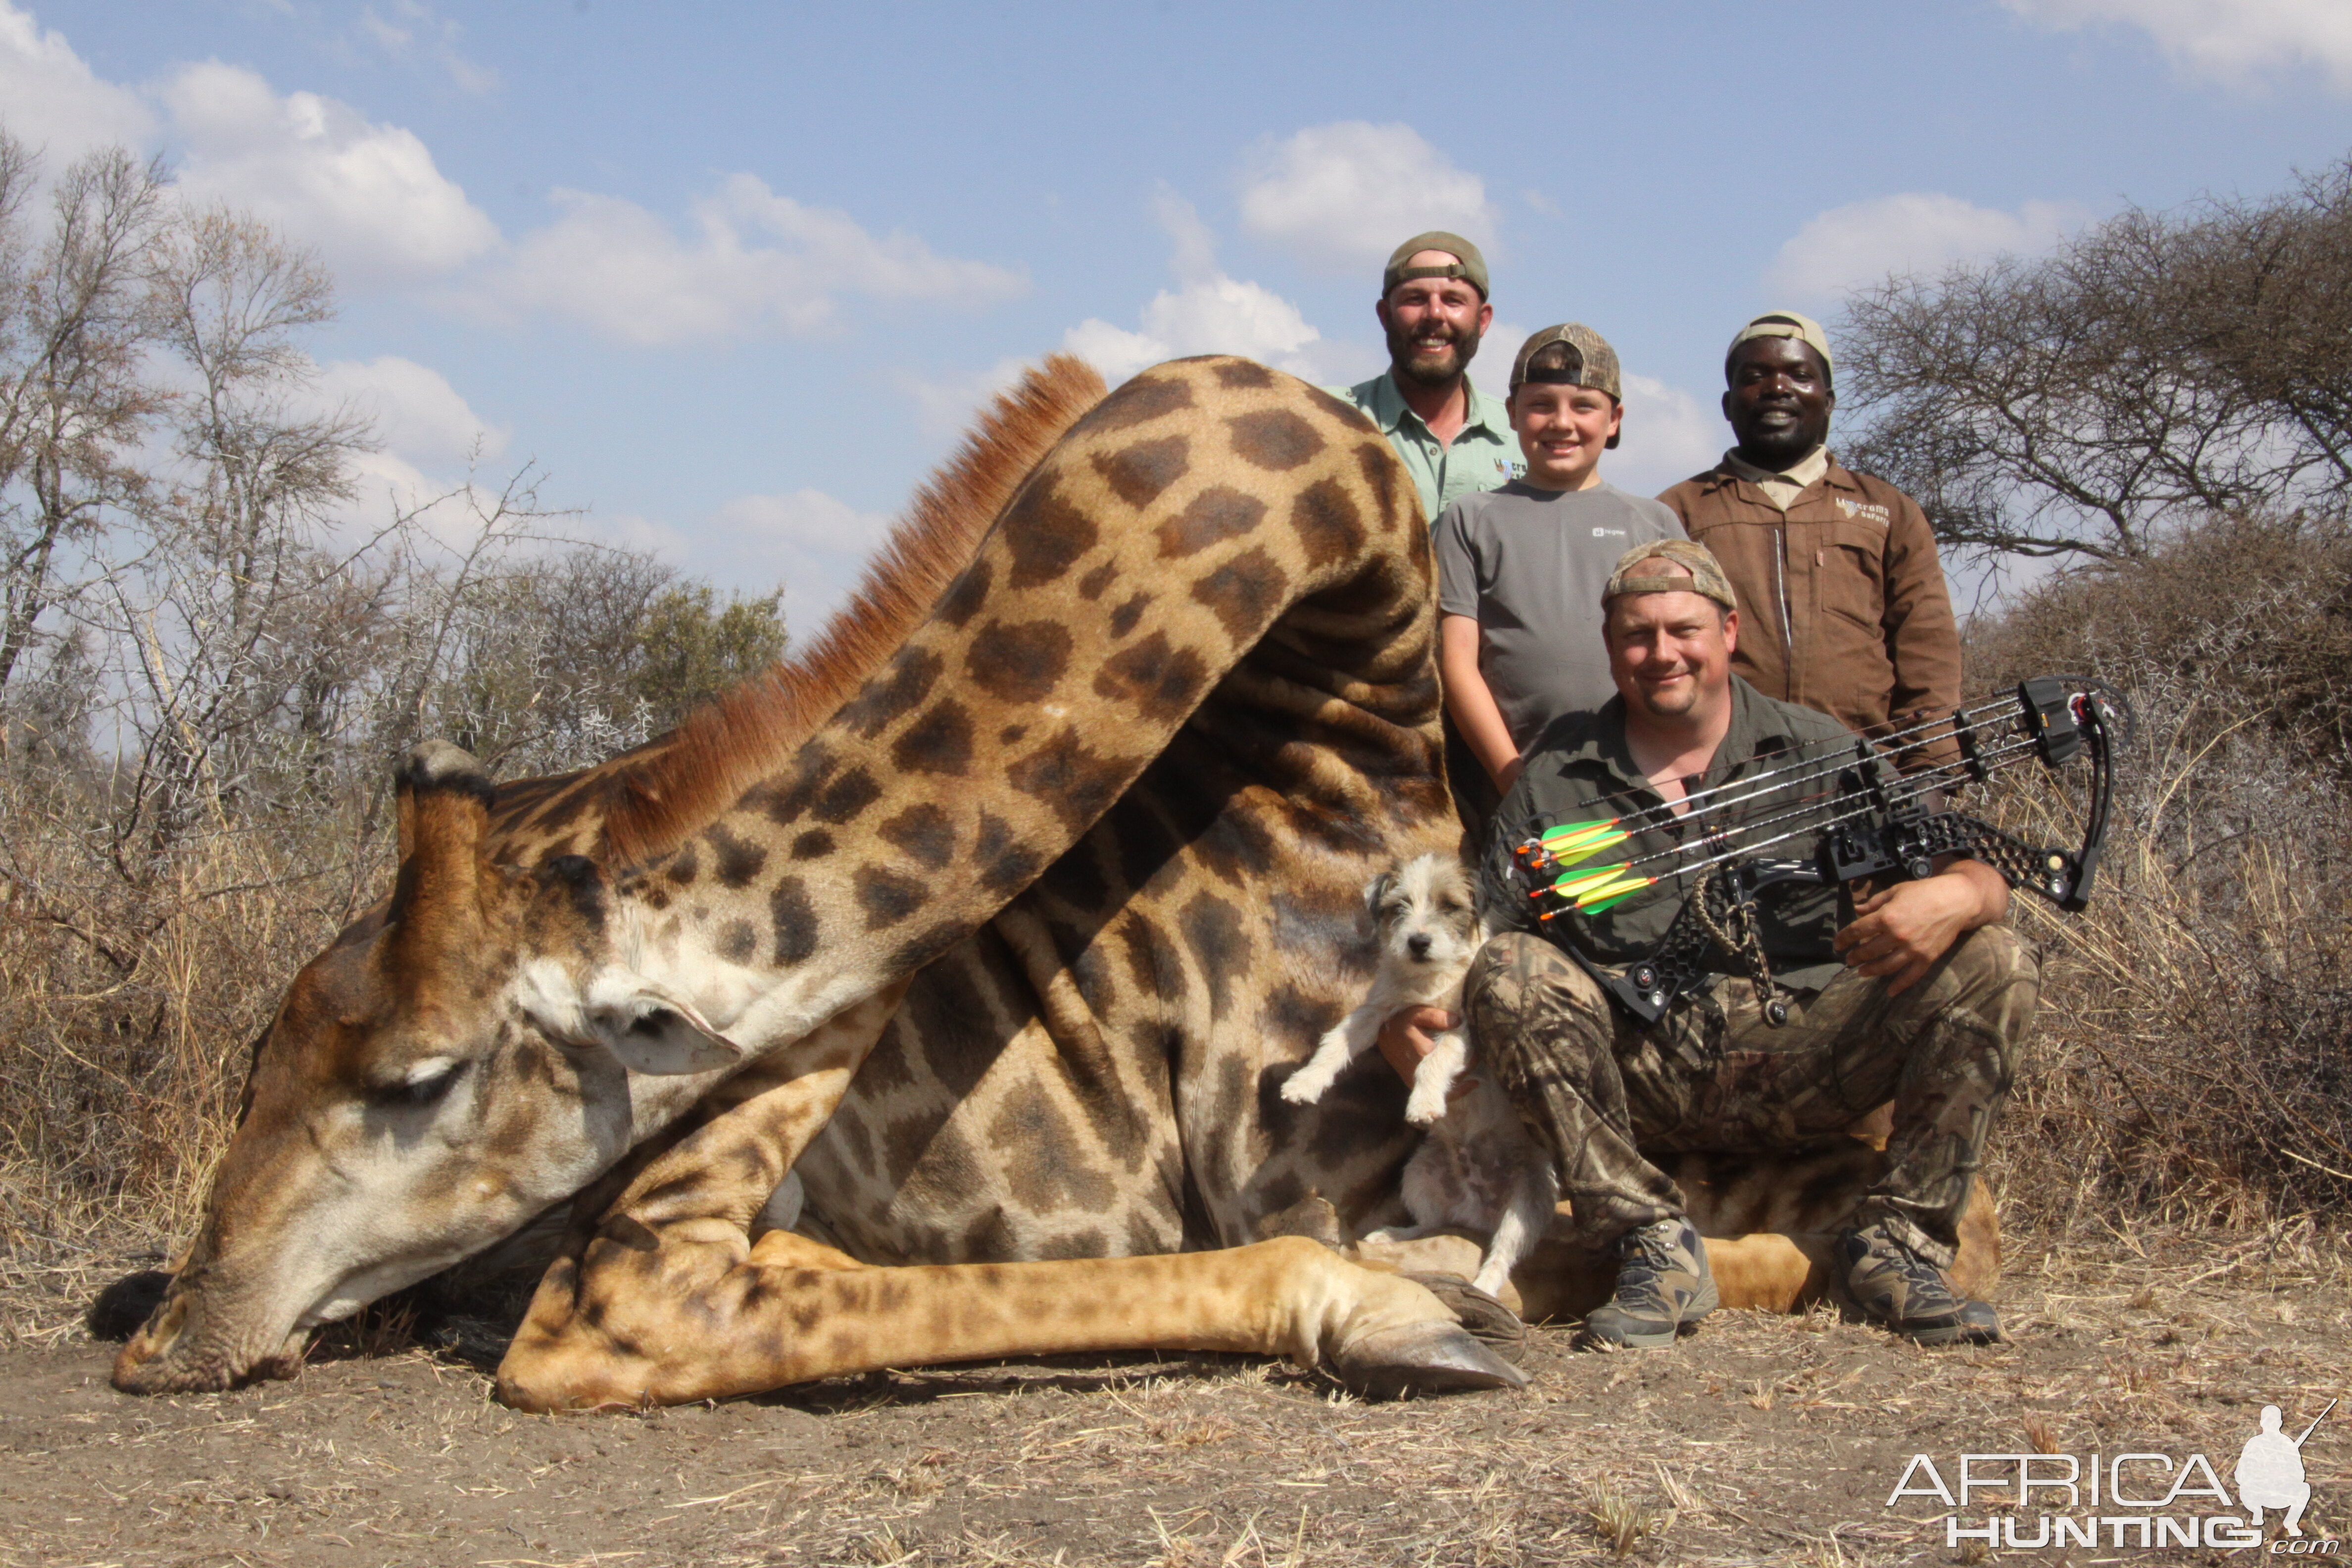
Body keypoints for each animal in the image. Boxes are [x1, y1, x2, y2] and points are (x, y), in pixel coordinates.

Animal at [1289, 851, 1562, 1297]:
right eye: (1399, 906)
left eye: (1449, 906)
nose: (1418, 942)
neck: (1427, 982)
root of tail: (1478, 1212)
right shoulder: (1379, 1013)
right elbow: (1337, 1042)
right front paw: (1305, 1082)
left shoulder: (1466, 1031)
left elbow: (1436, 1057)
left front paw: (1424, 1103)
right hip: (1420, 1174)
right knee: (1432, 1225)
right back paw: (1391, 1235)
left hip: (1529, 1200)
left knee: (1502, 1253)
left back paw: (1484, 1289)